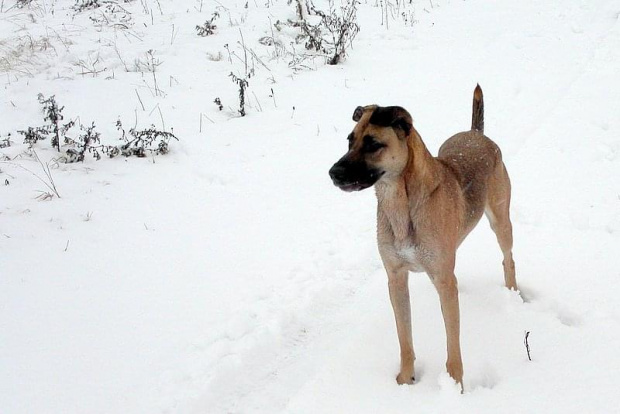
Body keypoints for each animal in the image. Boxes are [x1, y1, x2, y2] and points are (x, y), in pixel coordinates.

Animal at [326, 84, 516, 388]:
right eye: (349, 140)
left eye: (372, 144)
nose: (333, 173)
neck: (400, 203)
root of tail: (475, 133)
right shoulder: (395, 278)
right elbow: (405, 338)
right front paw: (405, 380)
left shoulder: (442, 279)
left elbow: (453, 344)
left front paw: (455, 386)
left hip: (501, 222)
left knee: (508, 258)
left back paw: (513, 295)